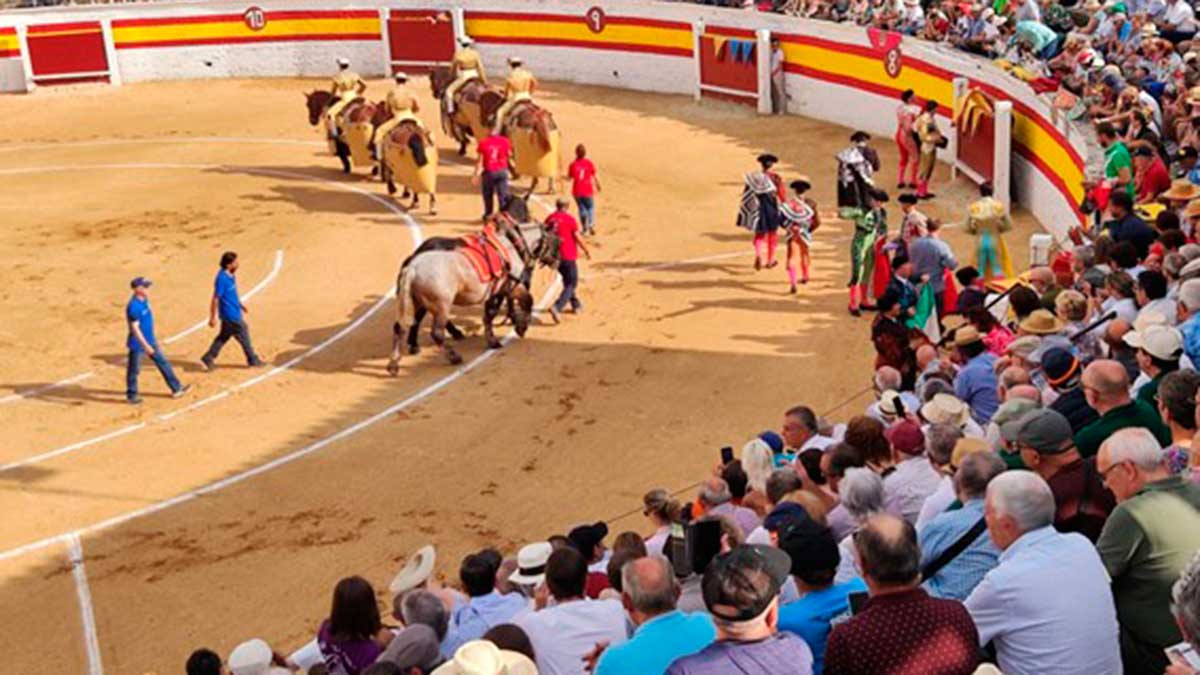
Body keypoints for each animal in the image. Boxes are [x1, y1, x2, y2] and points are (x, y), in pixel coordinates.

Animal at [388, 194, 561, 372]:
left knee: (401, 325)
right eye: (557, 242)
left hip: (415, 300)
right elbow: (521, 302)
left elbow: (494, 312)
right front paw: (515, 329)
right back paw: (452, 354)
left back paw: (397, 360)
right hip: (441, 304)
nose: (558, 261)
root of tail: (413, 267)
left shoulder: (498, 291)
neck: (509, 244)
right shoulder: (508, 287)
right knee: (436, 332)